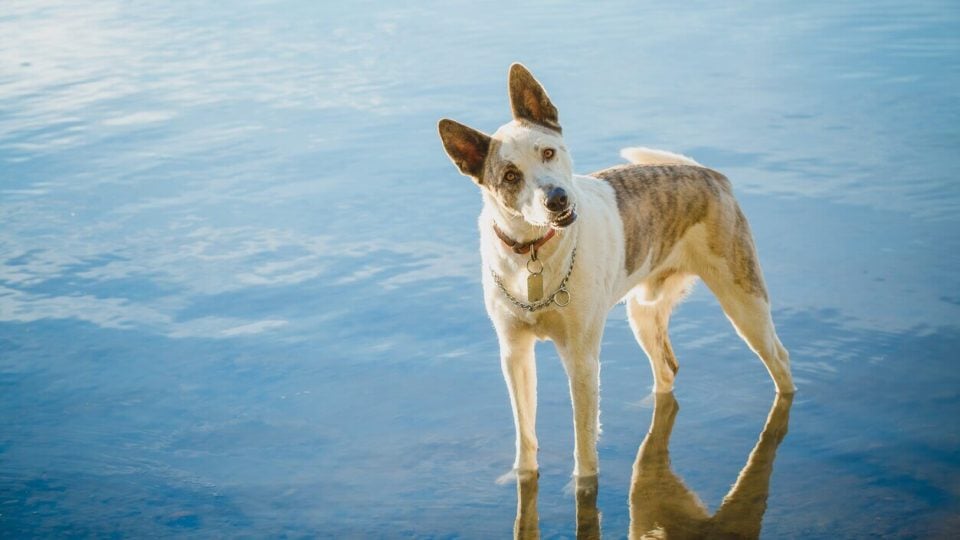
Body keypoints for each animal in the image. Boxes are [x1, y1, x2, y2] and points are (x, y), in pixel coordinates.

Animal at [436, 62, 796, 476]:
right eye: (510, 176)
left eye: (548, 152)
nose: (557, 199)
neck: (534, 253)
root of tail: (709, 174)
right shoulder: (514, 353)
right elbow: (525, 435)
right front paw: (522, 473)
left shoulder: (581, 358)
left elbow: (584, 446)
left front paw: (582, 482)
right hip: (643, 313)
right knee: (667, 369)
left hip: (744, 301)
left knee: (780, 363)